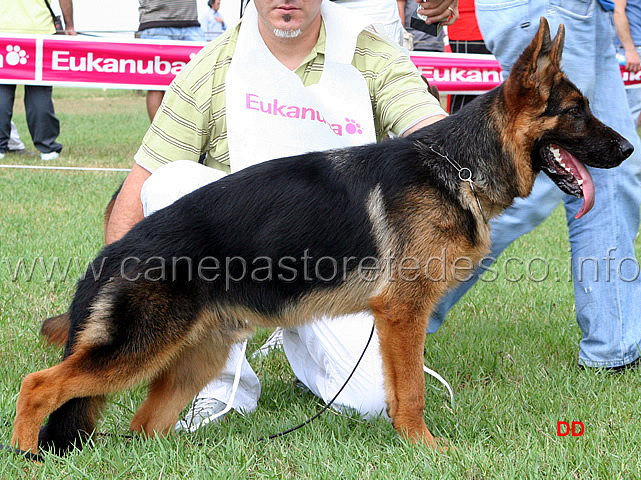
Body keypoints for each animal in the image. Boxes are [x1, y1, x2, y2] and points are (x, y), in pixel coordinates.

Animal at [12, 18, 632, 456]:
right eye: (577, 111)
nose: (628, 149)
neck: (456, 166)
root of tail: (113, 250)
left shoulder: (396, 322)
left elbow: (399, 390)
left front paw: (411, 444)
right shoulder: (403, 314)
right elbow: (412, 390)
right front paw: (427, 448)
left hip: (194, 358)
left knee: (142, 426)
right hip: (138, 347)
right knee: (38, 384)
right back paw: (26, 455)